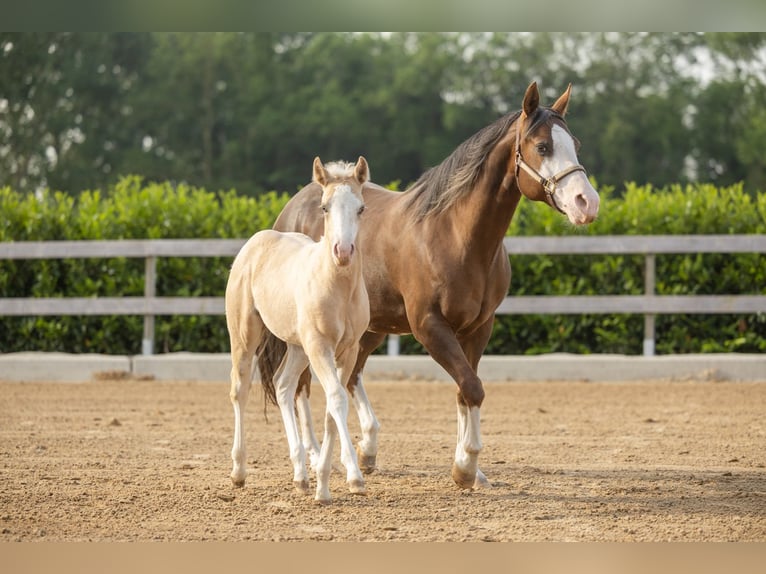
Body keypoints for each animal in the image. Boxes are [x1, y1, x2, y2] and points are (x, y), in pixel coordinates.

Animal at [226, 156, 370, 503]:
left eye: (360, 208)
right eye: (324, 207)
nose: (343, 251)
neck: (339, 288)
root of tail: (257, 241)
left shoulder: (348, 349)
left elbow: (332, 409)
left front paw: (323, 482)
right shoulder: (320, 346)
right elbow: (336, 399)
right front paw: (351, 478)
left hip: (297, 347)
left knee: (282, 386)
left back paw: (301, 474)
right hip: (245, 336)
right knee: (240, 389)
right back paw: (239, 471)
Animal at [258, 81, 600, 490]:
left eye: (575, 144)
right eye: (543, 146)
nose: (587, 202)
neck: (455, 236)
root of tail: (292, 209)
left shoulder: (478, 327)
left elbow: (465, 390)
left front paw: (471, 468)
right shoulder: (429, 327)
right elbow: (472, 386)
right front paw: (466, 466)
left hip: (371, 327)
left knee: (350, 377)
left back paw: (365, 450)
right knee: (303, 386)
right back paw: (313, 456)